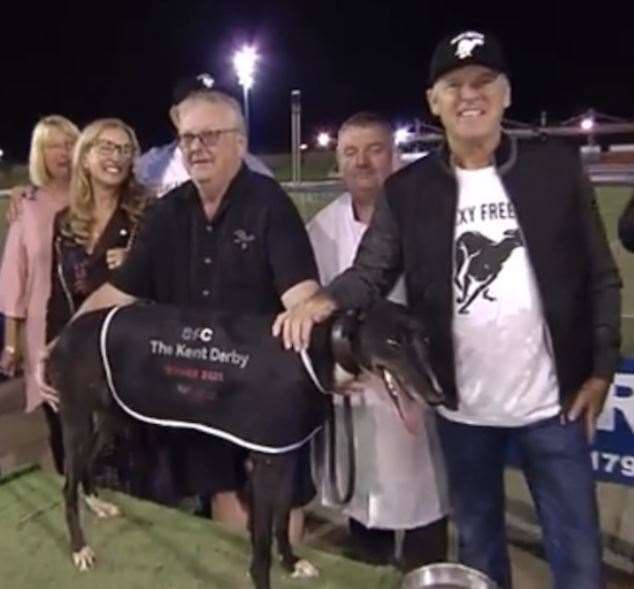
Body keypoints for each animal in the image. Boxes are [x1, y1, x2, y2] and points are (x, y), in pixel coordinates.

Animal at [47, 300, 442, 588]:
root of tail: (67, 331)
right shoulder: (265, 464)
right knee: (66, 484)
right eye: (393, 341)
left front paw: (292, 563)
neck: (319, 351)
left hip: (115, 415)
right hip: (77, 417)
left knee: (86, 464)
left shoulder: (285, 452)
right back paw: (80, 548)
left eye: (424, 339)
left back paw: (97, 503)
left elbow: (282, 522)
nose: (437, 396)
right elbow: (262, 541)